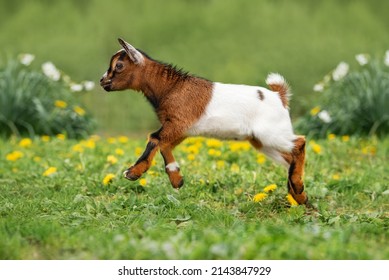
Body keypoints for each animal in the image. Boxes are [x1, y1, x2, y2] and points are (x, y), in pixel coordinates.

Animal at [100, 38, 310, 206]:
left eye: (119, 66)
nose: (102, 81)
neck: (171, 87)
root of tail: (279, 96)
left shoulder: (177, 123)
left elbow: (155, 138)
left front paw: (133, 173)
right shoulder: (181, 130)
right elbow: (164, 145)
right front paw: (177, 179)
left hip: (271, 133)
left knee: (299, 143)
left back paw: (297, 188)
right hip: (262, 141)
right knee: (289, 158)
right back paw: (299, 195)